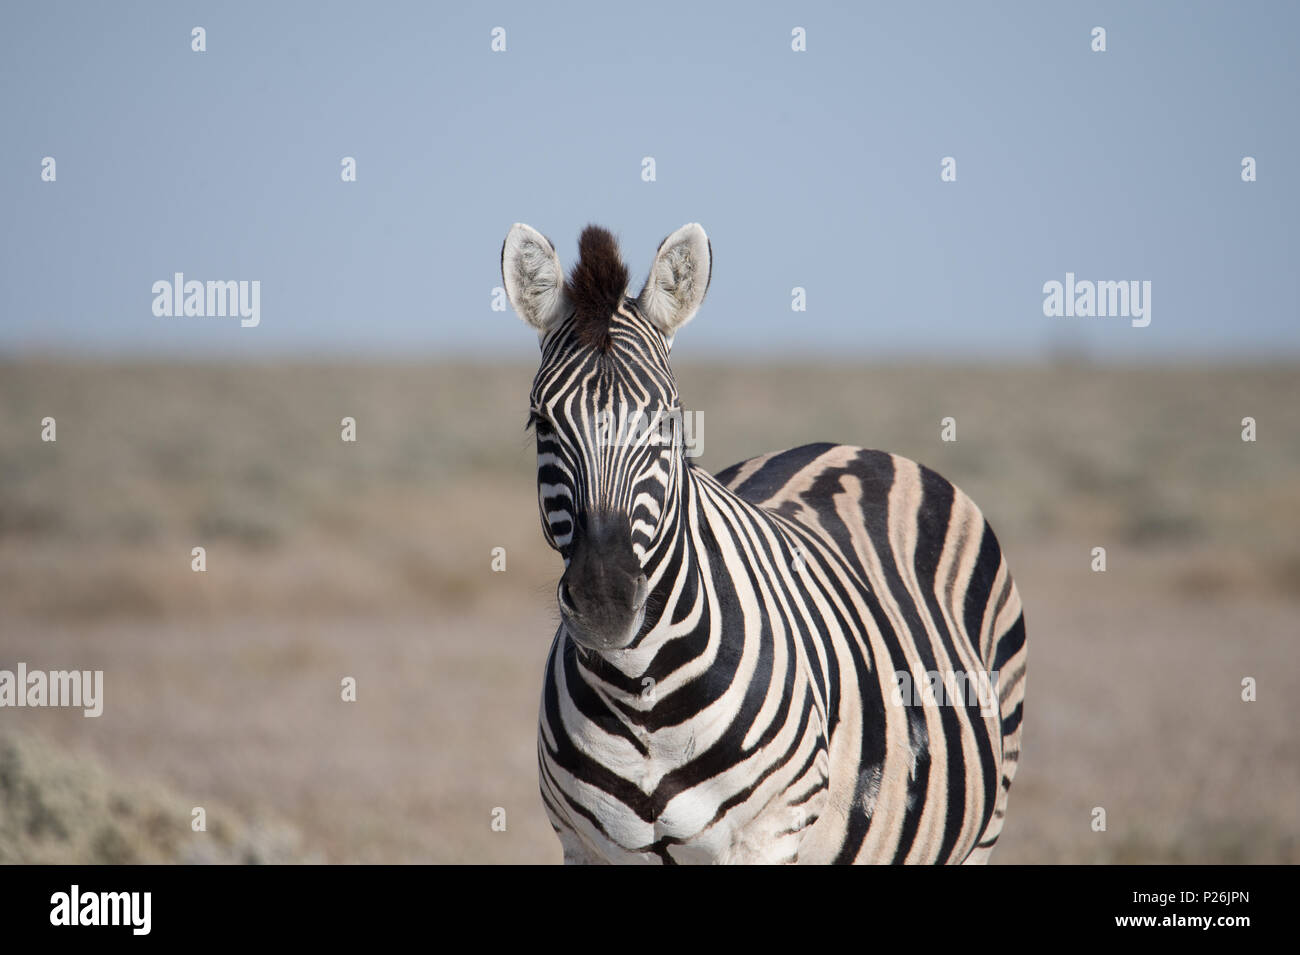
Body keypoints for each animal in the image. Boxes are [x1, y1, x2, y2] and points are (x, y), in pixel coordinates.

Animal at [496, 223, 1024, 867]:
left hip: (984, 825)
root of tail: (851, 448)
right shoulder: (587, 846)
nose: (604, 603)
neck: (641, 695)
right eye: (542, 423)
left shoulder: (769, 834)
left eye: (669, 419)